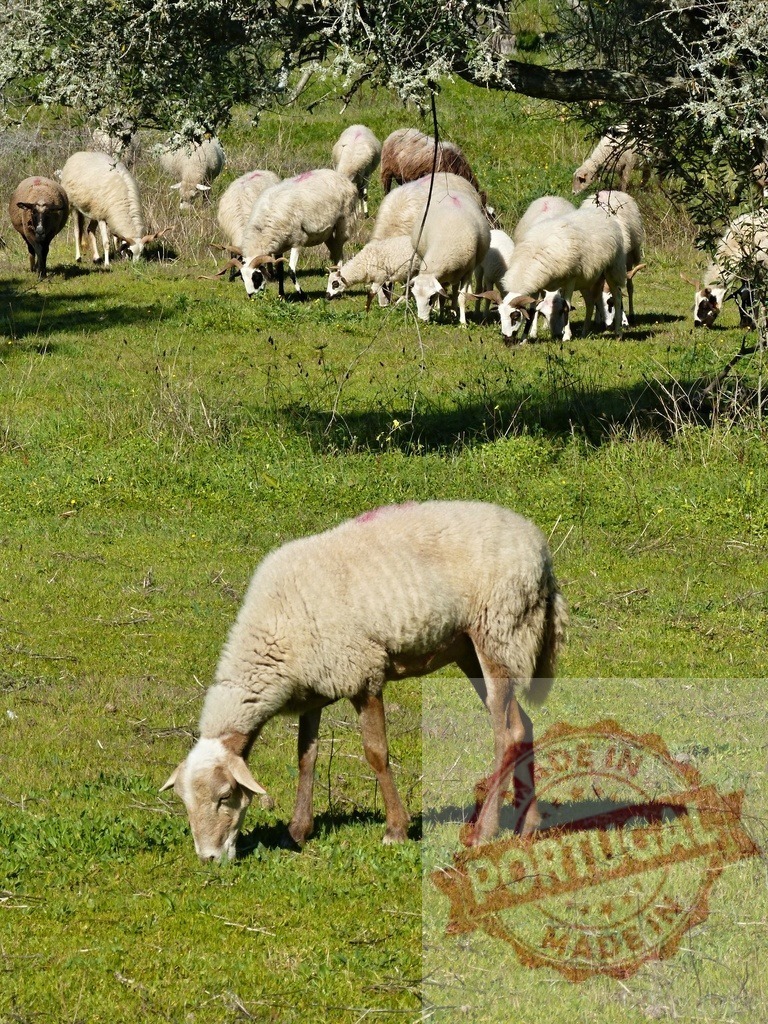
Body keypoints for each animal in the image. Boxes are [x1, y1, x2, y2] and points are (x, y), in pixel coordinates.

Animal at [160, 500, 568, 862]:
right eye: (184, 801)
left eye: (225, 796)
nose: (209, 858)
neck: (273, 633)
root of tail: (540, 548)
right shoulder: (314, 687)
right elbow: (306, 756)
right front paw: (297, 831)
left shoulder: (362, 673)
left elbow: (376, 752)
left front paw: (396, 830)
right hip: (471, 647)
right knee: (522, 726)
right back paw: (527, 824)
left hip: (499, 630)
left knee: (506, 735)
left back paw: (484, 832)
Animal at [238, 169, 360, 299]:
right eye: (242, 278)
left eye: (255, 277)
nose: (251, 296)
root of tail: (341, 177)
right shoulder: (279, 246)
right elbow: (280, 271)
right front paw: (281, 295)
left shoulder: (297, 241)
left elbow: (291, 271)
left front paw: (302, 295)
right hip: (328, 234)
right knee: (336, 253)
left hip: (344, 223)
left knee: (340, 255)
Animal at [409, 187, 491, 325]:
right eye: (415, 296)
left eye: (430, 298)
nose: (422, 320)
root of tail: (451, 191)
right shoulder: (443, 277)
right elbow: (442, 297)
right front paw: (441, 316)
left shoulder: (467, 272)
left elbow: (461, 297)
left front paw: (463, 323)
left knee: (456, 290)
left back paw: (454, 311)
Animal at [486, 206, 627, 343]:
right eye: (500, 315)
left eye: (515, 316)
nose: (507, 339)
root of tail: (604, 216)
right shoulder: (537, 286)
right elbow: (532, 311)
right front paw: (524, 339)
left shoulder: (570, 279)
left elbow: (566, 307)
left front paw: (566, 337)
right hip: (587, 280)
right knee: (590, 302)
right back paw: (584, 332)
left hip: (613, 269)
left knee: (617, 297)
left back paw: (618, 333)